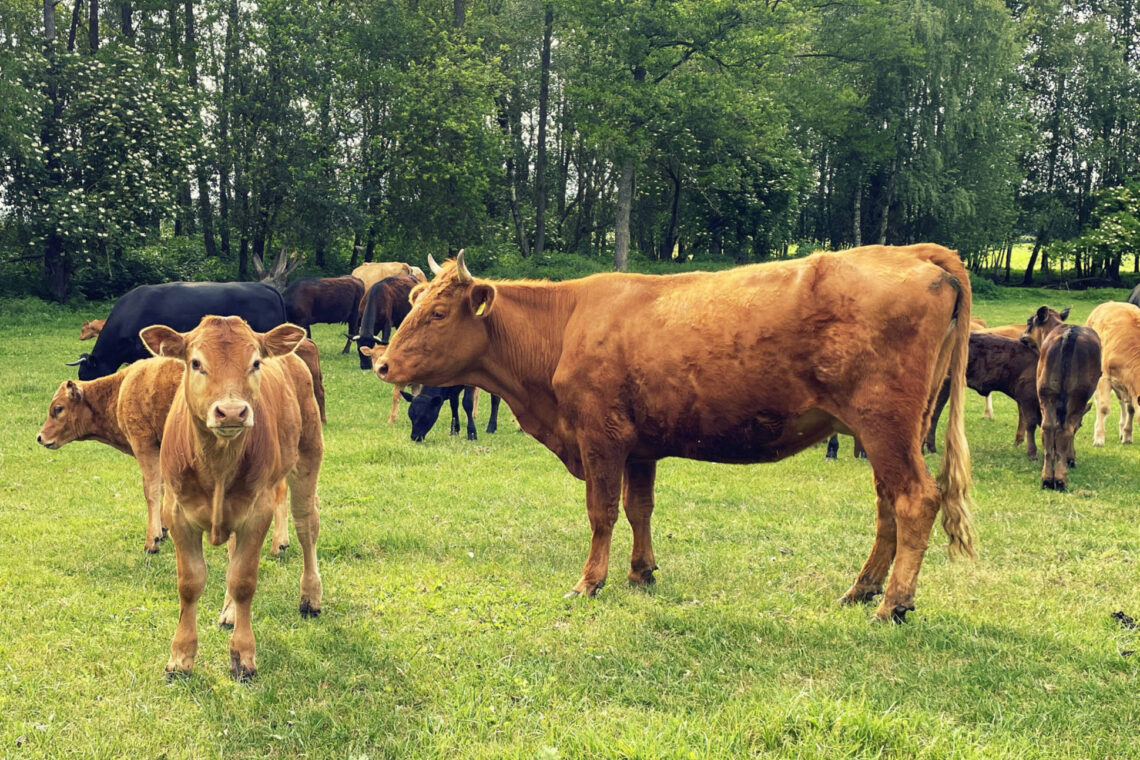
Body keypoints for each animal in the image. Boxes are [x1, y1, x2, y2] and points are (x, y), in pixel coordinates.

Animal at [140, 316, 323, 680]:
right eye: (196, 363)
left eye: (255, 363)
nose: (232, 411)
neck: (217, 466)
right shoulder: (176, 512)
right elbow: (191, 582)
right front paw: (180, 656)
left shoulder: (258, 511)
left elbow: (243, 580)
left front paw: (243, 656)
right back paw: (229, 612)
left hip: (309, 454)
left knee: (306, 525)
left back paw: (310, 596)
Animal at [375, 245, 976, 623]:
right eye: (413, 303)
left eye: (439, 313)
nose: (381, 364)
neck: (564, 325)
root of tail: (915, 252)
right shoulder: (640, 446)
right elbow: (639, 508)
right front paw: (641, 573)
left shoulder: (600, 437)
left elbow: (602, 512)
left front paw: (590, 581)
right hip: (885, 430)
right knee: (887, 504)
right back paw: (862, 589)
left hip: (885, 424)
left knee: (916, 499)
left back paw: (893, 603)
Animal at [1022, 306, 1101, 491]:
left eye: (1029, 322)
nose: (1022, 336)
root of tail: (1069, 333)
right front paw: (1070, 458)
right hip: (1077, 395)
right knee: (1066, 429)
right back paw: (1060, 479)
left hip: (1046, 391)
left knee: (1048, 427)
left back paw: (1047, 478)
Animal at [1085, 301, 1140, 447]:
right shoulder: (1104, 377)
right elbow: (1103, 407)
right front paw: (1099, 438)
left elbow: (1131, 408)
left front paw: (1127, 435)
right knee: (1098, 402)